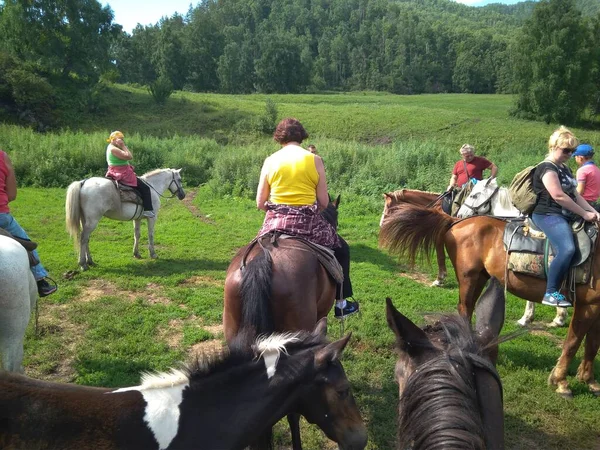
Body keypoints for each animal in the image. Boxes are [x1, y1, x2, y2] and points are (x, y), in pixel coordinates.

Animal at [382, 204, 600, 398]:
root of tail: (456, 221)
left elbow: (592, 344)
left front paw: (589, 380)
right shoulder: (587, 305)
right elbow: (573, 343)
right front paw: (561, 382)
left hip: (480, 277)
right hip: (469, 278)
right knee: (464, 308)